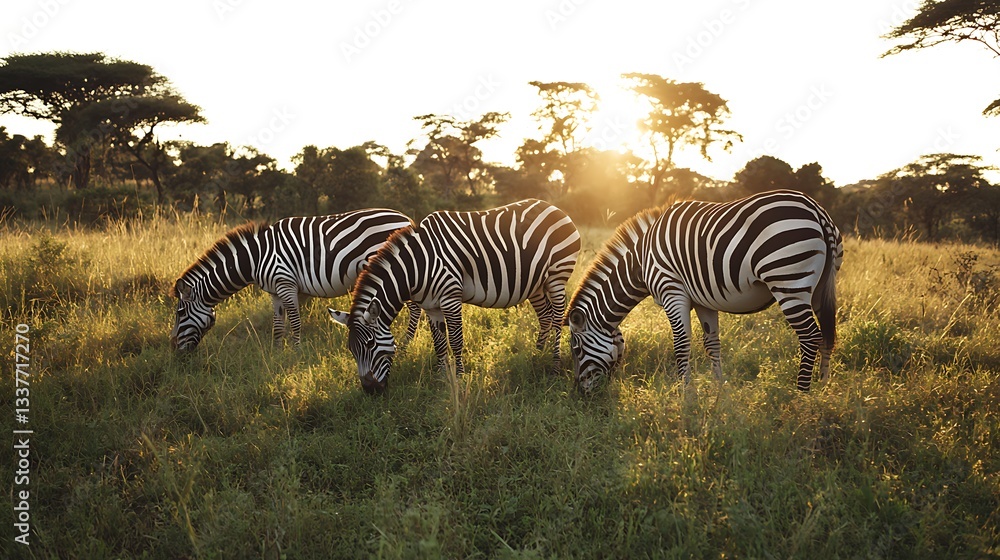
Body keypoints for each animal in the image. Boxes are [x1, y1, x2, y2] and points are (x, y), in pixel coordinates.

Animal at [169, 209, 422, 351]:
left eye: (180, 313)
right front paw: (277, 352)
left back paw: (408, 341)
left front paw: (296, 352)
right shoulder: (274, 292)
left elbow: (295, 321)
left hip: (397, 272)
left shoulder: (286, 283)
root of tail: (406, 219)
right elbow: (278, 324)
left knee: (415, 308)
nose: (175, 350)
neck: (255, 258)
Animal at [328, 199, 581, 394]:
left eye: (370, 345)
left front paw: (459, 378)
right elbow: (439, 344)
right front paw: (441, 378)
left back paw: (555, 365)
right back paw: (538, 355)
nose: (370, 391)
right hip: (536, 284)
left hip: (557, 275)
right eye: (351, 350)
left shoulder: (450, 298)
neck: (417, 266)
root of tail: (555, 208)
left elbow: (457, 341)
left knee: (557, 318)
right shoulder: (431, 306)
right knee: (545, 316)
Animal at [567, 189, 843, 393]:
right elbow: (712, 344)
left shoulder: (672, 291)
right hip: (820, 286)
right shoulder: (702, 300)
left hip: (788, 282)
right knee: (827, 335)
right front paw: (719, 391)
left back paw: (801, 395)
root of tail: (817, 211)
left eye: (577, 350)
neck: (641, 261)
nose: (580, 392)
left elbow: (681, 343)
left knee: (810, 336)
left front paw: (685, 394)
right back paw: (822, 387)